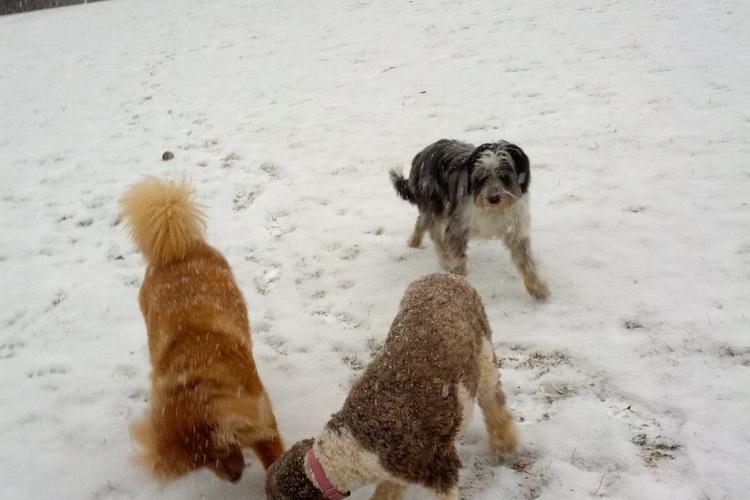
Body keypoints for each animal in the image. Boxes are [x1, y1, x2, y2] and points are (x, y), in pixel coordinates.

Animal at [120, 178, 284, 481]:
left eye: (221, 450)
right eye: (201, 464)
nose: (234, 478)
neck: (195, 375)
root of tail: (173, 250)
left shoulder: (262, 421)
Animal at [266, 273, 518, 500]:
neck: (352, 445)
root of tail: (447, 275)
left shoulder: (438, 465)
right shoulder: (395, 471)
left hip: (484, 354)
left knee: (493, 399)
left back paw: (505, 442)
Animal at [390, 139, 549, 299]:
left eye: (504, 176)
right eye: (483, 176)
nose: (493, 198)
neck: (492, 210)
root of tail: (423, 153)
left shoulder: (515, 228)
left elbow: (526, 261)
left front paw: (538, 288)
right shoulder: (458, 223)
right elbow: (458, 254)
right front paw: (457, 275)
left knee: (422, 220)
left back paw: (414, 242)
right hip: (435, 204)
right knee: (434, 232)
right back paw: (444, 258)